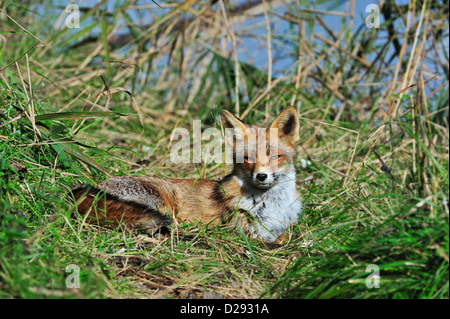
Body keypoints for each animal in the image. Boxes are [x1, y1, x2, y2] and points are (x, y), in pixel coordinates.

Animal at [71, 106, 302, 244]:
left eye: (276, 157)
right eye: (248, 158)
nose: (261, 176)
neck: (271, 206)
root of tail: (82, 191)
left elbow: (284, 235)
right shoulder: (241, 230)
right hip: (164, 205)